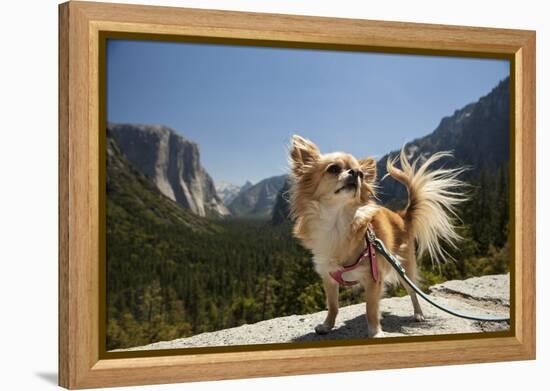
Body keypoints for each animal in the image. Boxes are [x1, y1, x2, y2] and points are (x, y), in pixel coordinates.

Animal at [288, 135, 466, 336]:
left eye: (361, 174)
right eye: (333, 169)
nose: (355, 173)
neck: (337, 222)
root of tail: (402, 216)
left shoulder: (373, 277)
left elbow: (371, 308)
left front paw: (375, 332)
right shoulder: (329, 277)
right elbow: (333, 306)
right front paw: (327, 325)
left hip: (404, 268)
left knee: (413, 292)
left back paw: (418, 314)